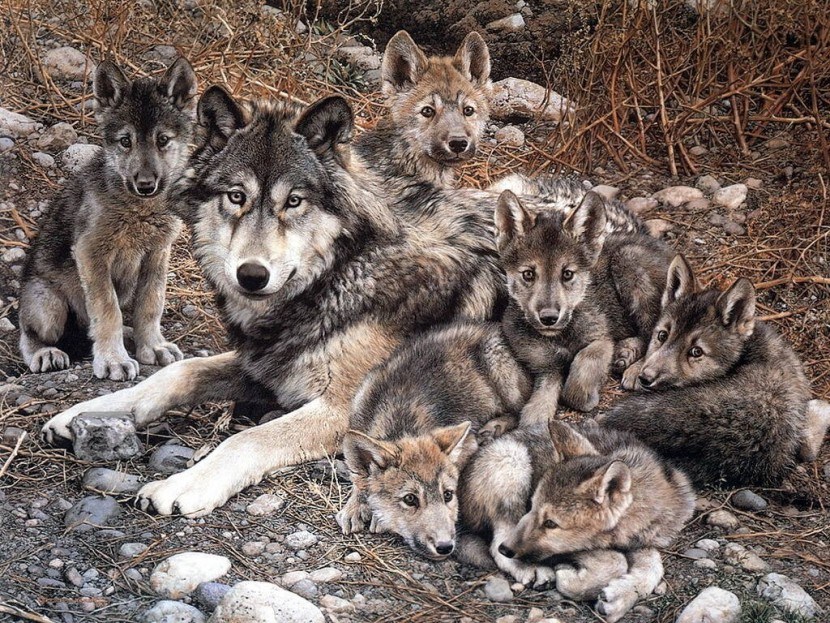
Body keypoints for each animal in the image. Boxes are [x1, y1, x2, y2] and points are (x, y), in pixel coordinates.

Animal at [19, 58, 197, 380]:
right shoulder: (90, 253)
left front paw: (152, 346)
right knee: (29, 335)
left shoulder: (157, 254)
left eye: (163, 140)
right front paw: (114, 360)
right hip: (47, 306)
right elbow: (107, 310)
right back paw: (46, 353)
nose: (146, 185)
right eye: (125, 141)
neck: (139, 211)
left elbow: (150, 305)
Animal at [41, 88, 506, 517]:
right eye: (236, 196)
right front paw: (85, 413)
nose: (251, 275)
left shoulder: (345, 410)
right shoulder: (266, 364)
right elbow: (175, 374)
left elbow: (246, 438)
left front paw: (184, 484)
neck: (344, 270)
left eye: (294, 201)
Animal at [336, 322, 531, 560]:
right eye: (410, 499)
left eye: (448, 495)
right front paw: (354, 507)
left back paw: (494, 428)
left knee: (519, 410)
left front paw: (375, 517)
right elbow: (359, 479)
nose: (445, 546)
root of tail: (493, 326)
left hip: (501, 373)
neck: (399, 418)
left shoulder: (468, 444)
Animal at [459, 420, 694, 622]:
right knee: (494, 544)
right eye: (531, 506)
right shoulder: (573, 547)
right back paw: (529, 568)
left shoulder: (644, 541)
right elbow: (616, 561)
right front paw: (572, 582)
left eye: (551, 523)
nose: (506, 549)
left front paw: (621, 597)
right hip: (512, 461)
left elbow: (654, 567)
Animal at [494, 187, 674, 423]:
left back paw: (634, 368)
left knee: (654, 330)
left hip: (628, 261)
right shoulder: (546, 366)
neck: (561, 335)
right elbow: (539, 402)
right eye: (528, 274)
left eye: (567, 274)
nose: (549, 318)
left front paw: (587, 397)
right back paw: (625, 352)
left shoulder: (600, 340)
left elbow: (579, 375)